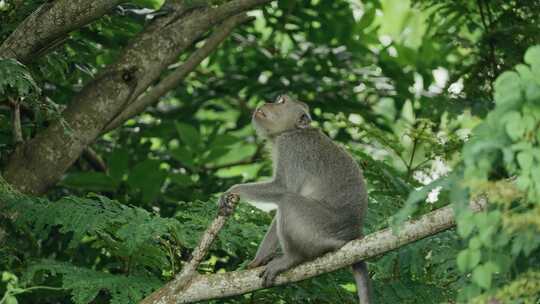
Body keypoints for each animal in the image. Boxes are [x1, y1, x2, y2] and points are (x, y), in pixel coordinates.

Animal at [219, 94, 372, 302]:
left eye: (281, 101)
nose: (266, 102)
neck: (292, 131)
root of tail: (353, 232)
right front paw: (258, 260)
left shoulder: (290, 147)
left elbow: (283, 188)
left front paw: (233, 190)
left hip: (320, 224)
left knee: (288, 201)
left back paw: (292, 258)